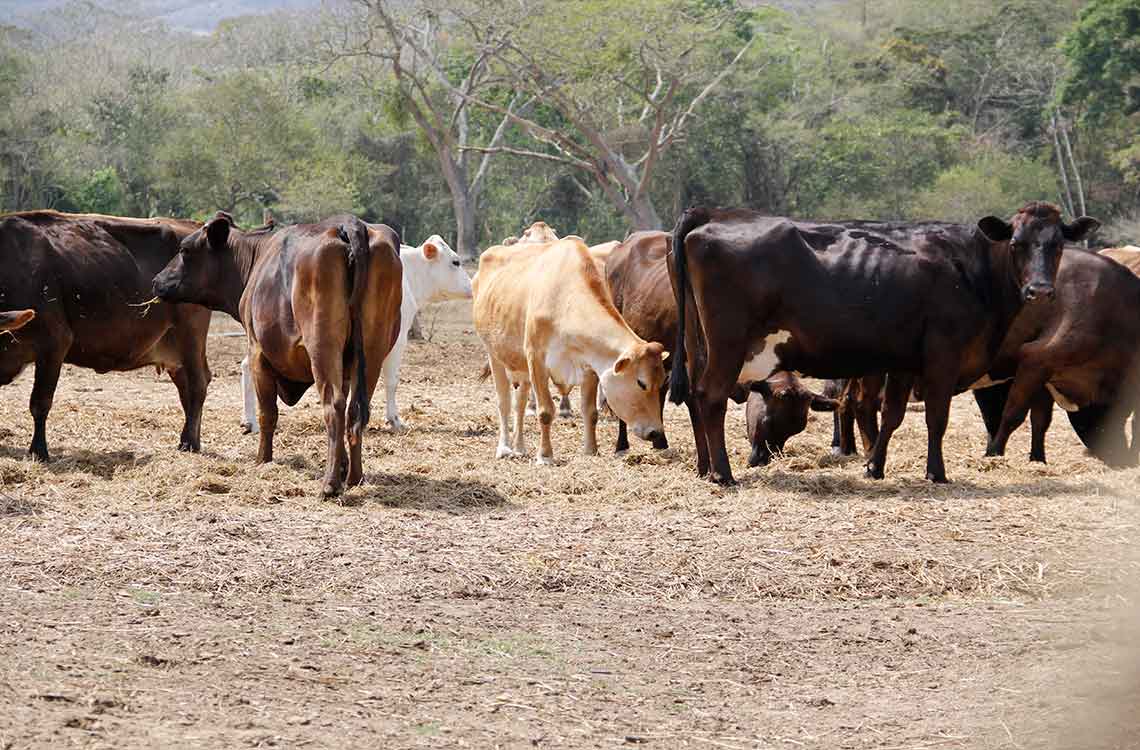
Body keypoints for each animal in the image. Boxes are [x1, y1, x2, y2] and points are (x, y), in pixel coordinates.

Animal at [0, 207, 212, 458]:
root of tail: (193, 227)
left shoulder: (54, 343)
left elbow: (40, 402)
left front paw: (39, 451)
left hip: (191, 337)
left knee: (198, 384)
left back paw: (189, 442)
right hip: (173, 350)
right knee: (185, 387)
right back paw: (190, 440)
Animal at [149, 208, 403, 496]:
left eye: (184, 250)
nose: (156, 281)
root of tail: (350, 224)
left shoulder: (258, 354)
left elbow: (267, 414)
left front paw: (263, 460)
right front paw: (342, 465)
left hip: (322, 347)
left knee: (335, 406)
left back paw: (329, 484)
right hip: (372, 351)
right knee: (356, 411)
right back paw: (354, 478)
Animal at [240, 232, 471, 433]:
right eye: (455, 262)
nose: (471, 286)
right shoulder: (395, 341)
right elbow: (391, 380)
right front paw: (394, 420)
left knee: (247, 365)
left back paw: (250, 420)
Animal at [471, 234, 665, 460]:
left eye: (662, 382)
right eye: (641, 383)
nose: (655, 432)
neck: (565, 301)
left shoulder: (589, 366)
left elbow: (590, 412)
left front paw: (591, 450)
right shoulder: (536, 359)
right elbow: (545, 411)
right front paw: (545, 455)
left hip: (520, 365)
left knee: (519, 404)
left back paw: (520, 447)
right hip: (494, 354)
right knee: (503, 402)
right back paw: (504, 448)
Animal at [665, 202, 1094, 485]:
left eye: (1057, 244)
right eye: (1017, 243)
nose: (1040, 290)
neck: (971, 266)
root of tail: (715, 214)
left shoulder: (904, 360)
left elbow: (892, 416)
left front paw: (875, 465)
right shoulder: (943, 354)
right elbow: (936, 418)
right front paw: (936, 473)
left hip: (698, 345)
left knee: (695, 399)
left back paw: (704, 468)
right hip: (728, 343)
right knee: (711, 396)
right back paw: (723, 474)